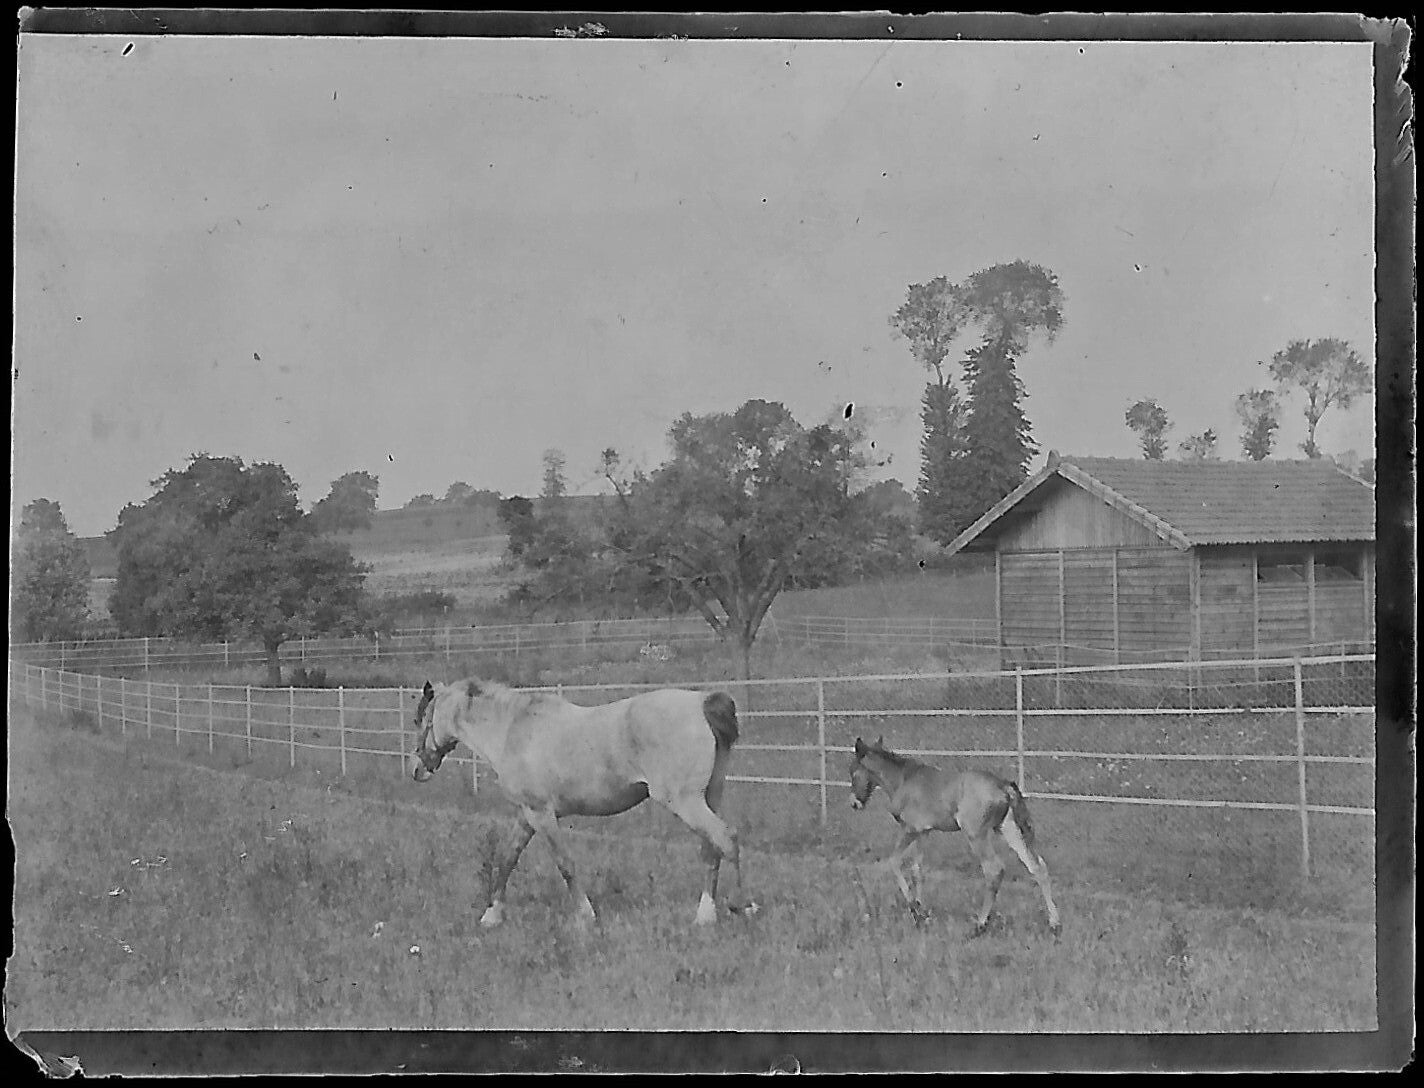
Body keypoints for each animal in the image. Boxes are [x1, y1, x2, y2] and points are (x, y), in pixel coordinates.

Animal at [410, 677, 759, 928]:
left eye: (421, 719)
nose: (417, 769)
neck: (512, 731)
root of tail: (702, 703)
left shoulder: (542, 814)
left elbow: (565, 864)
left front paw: (585, 915)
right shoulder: (526, 815)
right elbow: (507, 858)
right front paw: (492, 916)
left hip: (685, 801)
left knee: (726, 839)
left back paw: (742, 907)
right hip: (708, 796)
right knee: (711, 849)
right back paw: (705, 915)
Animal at [848, 736, 1061, 937]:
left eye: (853, 772)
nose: (855, 804)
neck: (903, 779)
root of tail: (1003, 786)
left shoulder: (909, 829)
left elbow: (894, 861)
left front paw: (914, 909)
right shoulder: (924, 832)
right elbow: (917, 870)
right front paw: (921, 914)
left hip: (976, 833)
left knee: (994, 869)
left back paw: (980, 925)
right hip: (1007, 828)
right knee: (1037, 866)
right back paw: (1054, 924)